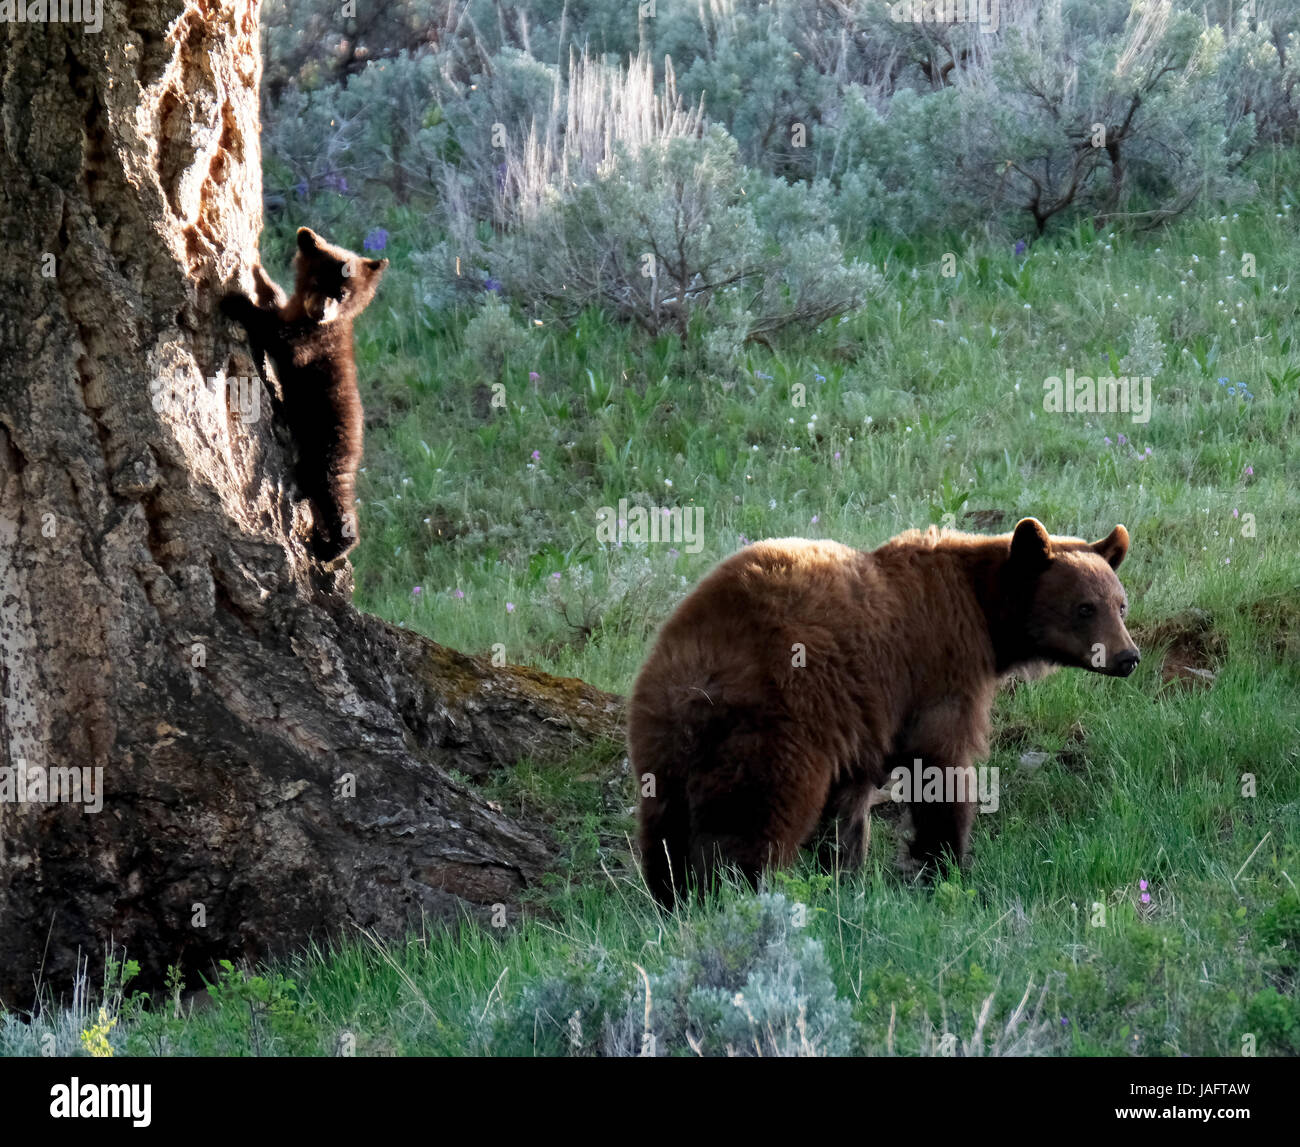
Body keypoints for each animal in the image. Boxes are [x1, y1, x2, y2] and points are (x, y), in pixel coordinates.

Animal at [629, 517, 1138, 905]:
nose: (1127, 656)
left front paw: (844, 876)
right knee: (754, 820)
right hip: (776, 725)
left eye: (1121, 604)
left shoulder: (861, 721)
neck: (984, 612)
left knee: (665, 829)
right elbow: (941, 768)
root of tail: (700, 672)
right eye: (1085, 608)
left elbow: (848, 810)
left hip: (663, 737)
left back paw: (672, 899)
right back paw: (734, 894)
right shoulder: (940, 671)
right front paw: (945, 864)